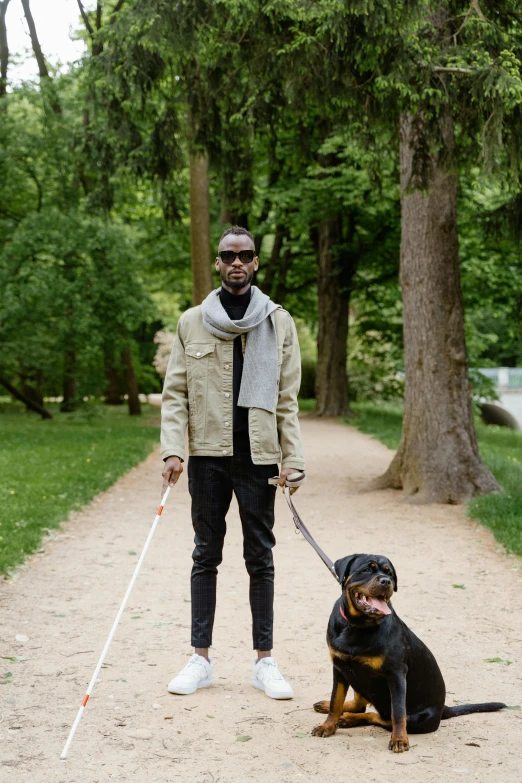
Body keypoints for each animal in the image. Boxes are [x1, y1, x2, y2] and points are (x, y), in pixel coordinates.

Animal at [310, 556, 506, 752]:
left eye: (389, 573)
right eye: (366, 570)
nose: (386, 581)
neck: (358, 625)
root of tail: (443, 709)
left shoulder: (396, 673)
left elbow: (398, 712)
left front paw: (399, 739)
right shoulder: (340, 667)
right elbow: (335, 701)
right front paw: (327, 725)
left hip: (419, 719)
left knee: (382, 717)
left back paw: (350, 718)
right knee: (360, 705)